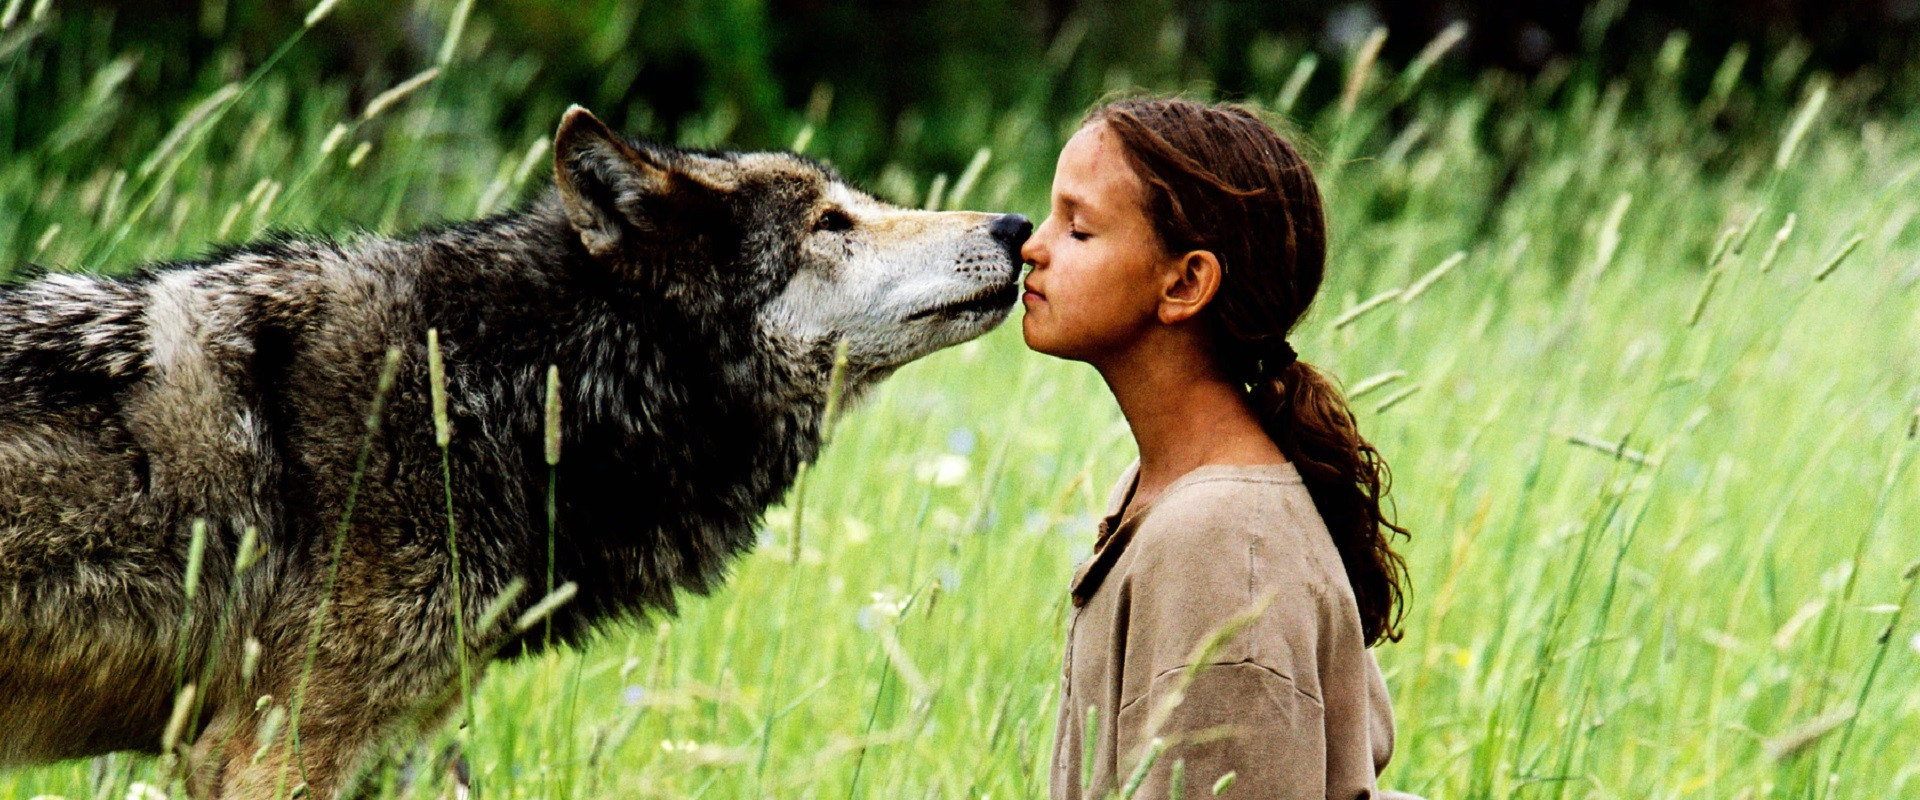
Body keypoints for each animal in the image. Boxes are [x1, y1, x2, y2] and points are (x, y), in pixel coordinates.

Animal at [0, 105, 1031, 797]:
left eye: (857, 204)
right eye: (830, 223)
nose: (1016, 226)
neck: (511, 382)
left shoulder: (388, 743)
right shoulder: (275, 749)